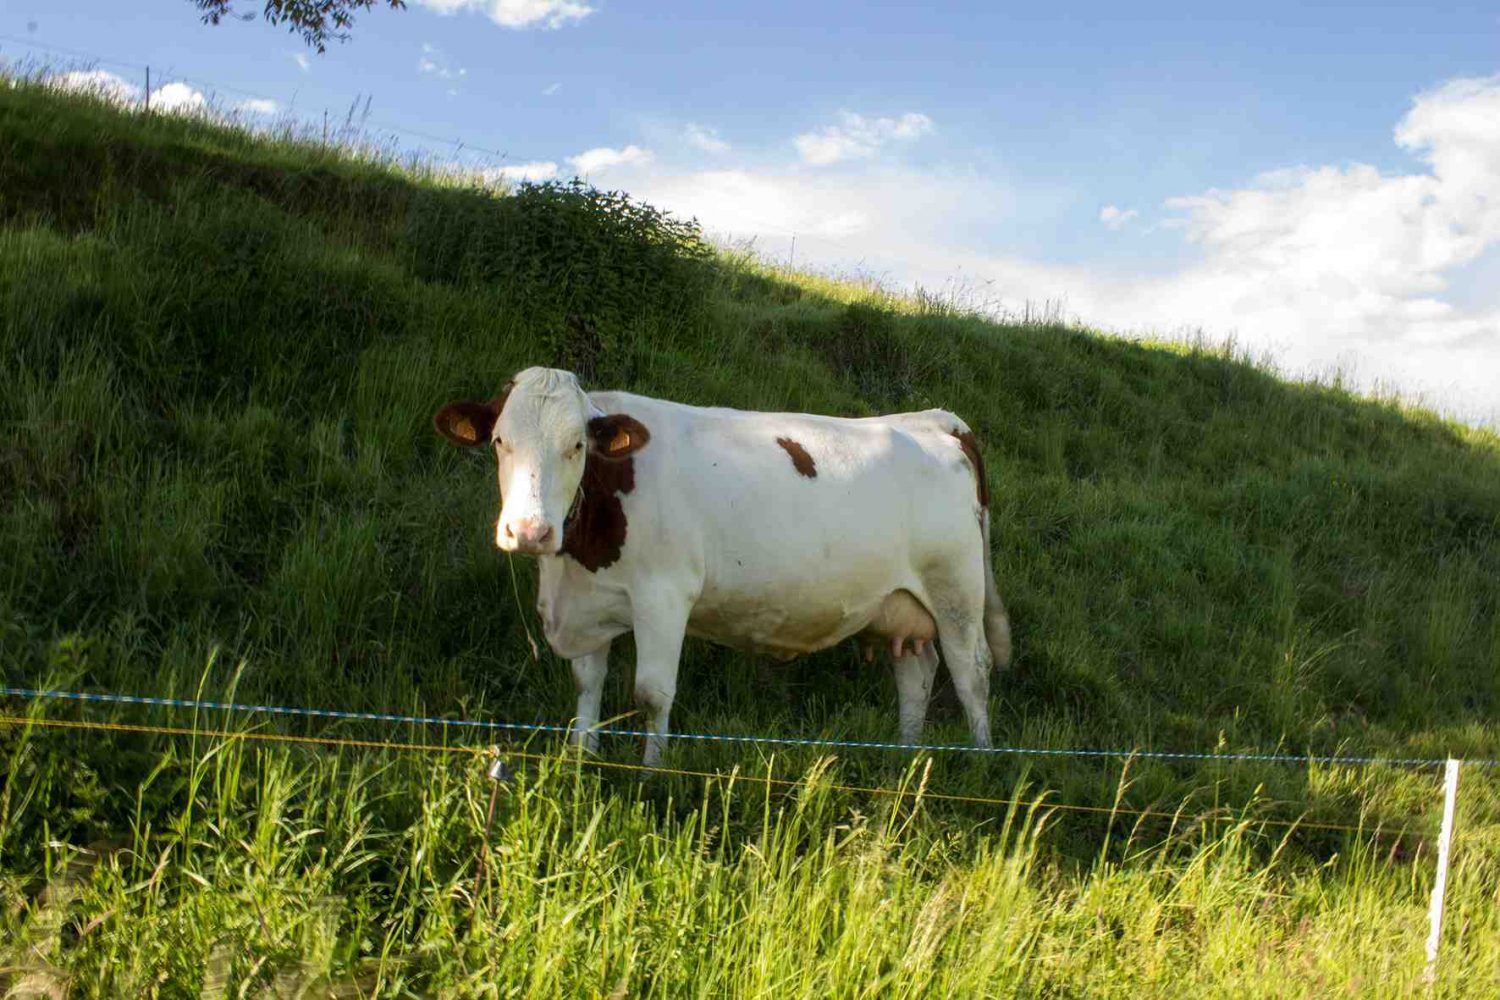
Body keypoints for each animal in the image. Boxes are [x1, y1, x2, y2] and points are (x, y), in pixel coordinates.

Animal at [438, 367, 1020, 767]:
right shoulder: (588, 602)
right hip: (902, 603)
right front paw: (582, 759)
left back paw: (981, 760)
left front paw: (652, 775)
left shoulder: (664, 596)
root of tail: (934, 421)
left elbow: (652, 694)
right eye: (500, 442)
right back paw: (903, 756)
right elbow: (587, 683)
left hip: (955, 590)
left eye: (576, 445)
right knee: (917, 673)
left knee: (971, 672)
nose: (529, 531)